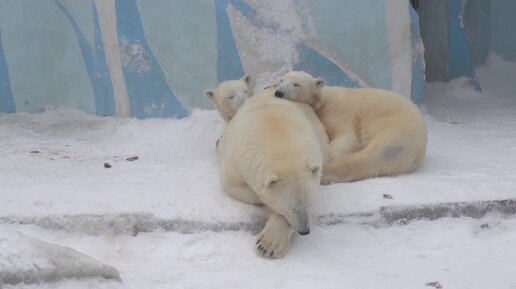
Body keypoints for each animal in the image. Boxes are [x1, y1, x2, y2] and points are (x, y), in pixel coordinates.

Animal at [213, 84, 326, 256]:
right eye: (290, 208)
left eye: (310, 205)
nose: (304, 231)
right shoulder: (237, 159)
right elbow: (236, 185)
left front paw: (269, 244)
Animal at [274, 70, 428, 182]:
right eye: (281, 80)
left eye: (296, 84)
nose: (279, 92)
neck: (324, 101)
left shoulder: (339, 113)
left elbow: (347, 137)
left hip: (391, 127)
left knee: (376, 154)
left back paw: (326, 173)